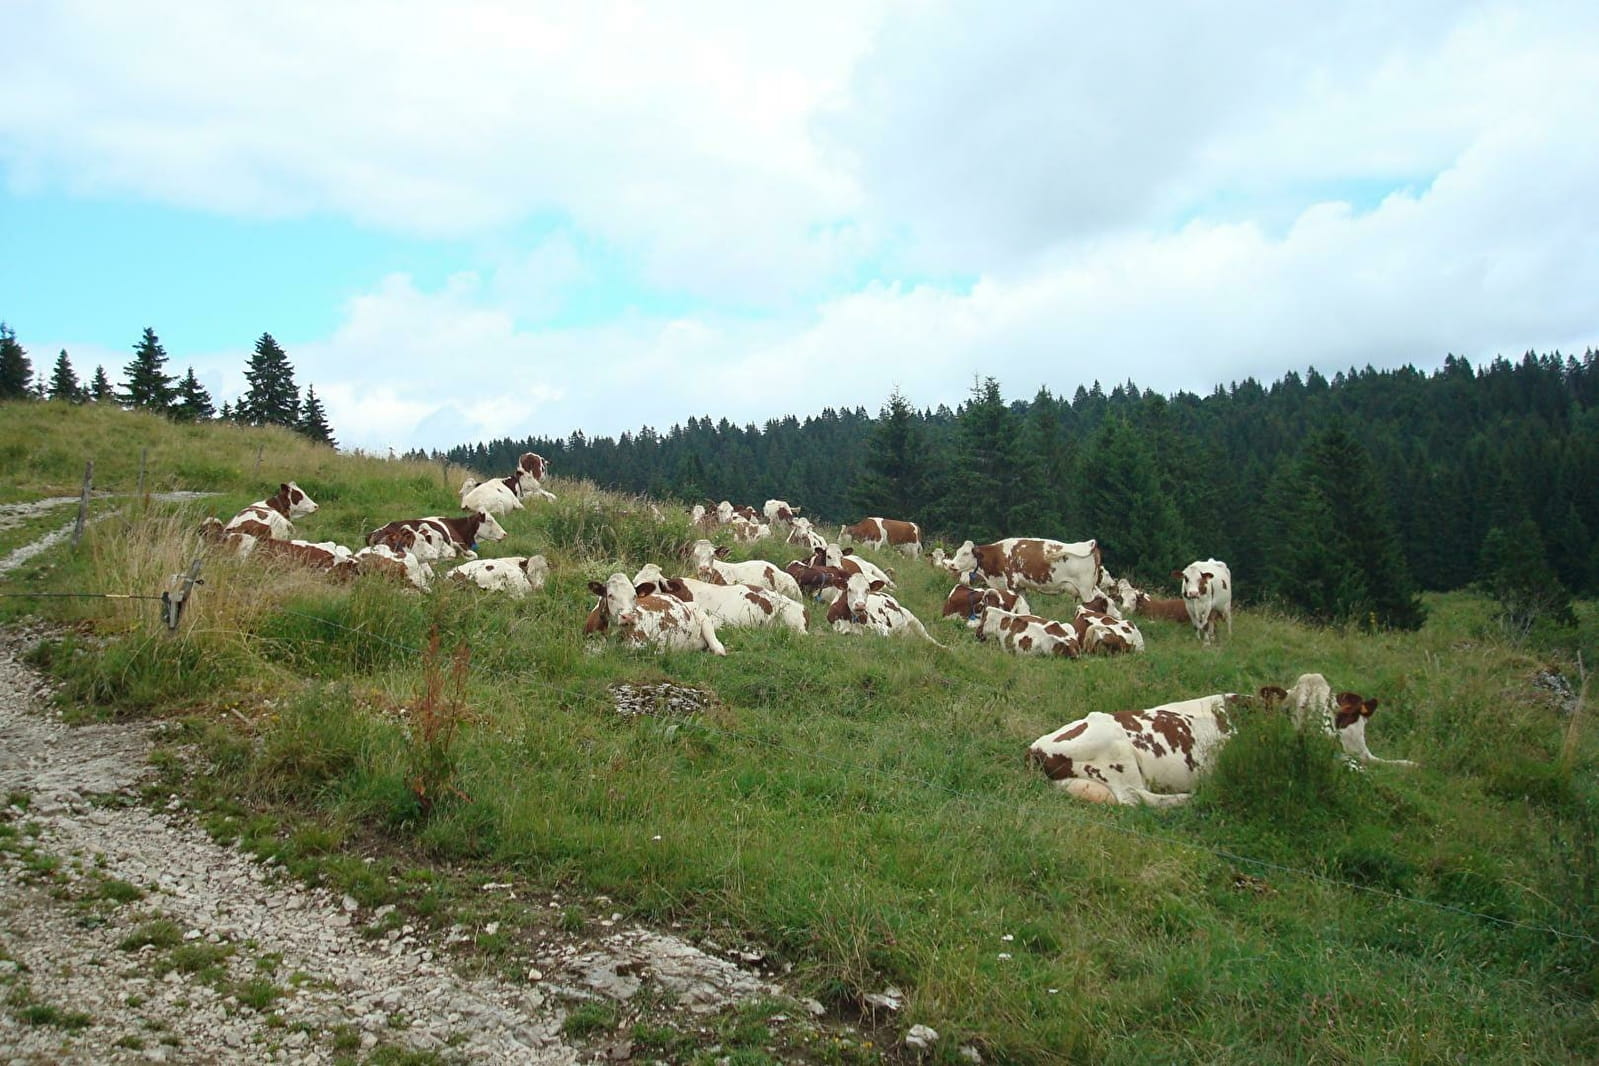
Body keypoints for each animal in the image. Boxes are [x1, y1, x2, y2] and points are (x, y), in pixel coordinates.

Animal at [585, 572, 729, 655]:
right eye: (610, 595)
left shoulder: (642, 643)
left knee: (718, 648)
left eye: (634, 596)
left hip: (703, 617)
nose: (629, 617)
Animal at [946, 536, 1100, 604]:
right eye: (957, 551)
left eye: (966, 553)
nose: (951, 565)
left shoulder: (1011, 583)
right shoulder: (1020, 587)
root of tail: (1090, 544)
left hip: (1085, 590)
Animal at [1023, 671, 1413, 805]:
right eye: (1293, 710)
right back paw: (1189, 799)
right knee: (1138, 799)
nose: (1321, 741)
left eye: (1333, 712)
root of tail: (1036, 749)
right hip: (1118, 754)